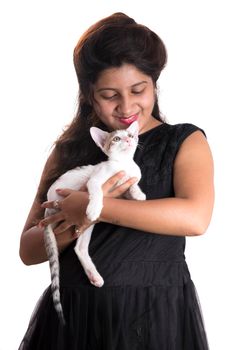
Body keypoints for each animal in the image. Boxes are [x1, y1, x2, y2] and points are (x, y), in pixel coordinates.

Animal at [44, 121, 145, 324]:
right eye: (116, 138)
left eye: (131, 135)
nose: (128, 139)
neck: (123, 165)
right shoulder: (96, 180)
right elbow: (97, 191)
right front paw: (94, 207)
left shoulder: (126, 185)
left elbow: (132, 184)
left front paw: (138, 193)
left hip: (87, 228)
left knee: (79, 248)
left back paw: (94, 276)